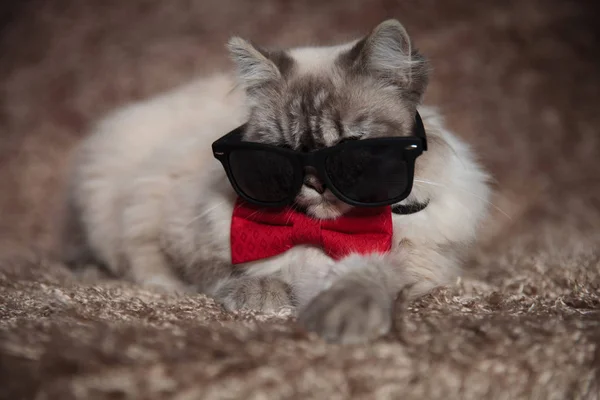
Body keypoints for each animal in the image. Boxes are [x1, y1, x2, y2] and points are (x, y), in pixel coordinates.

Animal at [63, 19, 490, 344]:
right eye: (285, 152)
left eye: (349, 147)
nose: (315, 182)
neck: (319, 230)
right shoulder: (179, 236)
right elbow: (231, 270)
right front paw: (265, 296)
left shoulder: (416, 262)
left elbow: (371, 277)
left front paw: (341, 316)